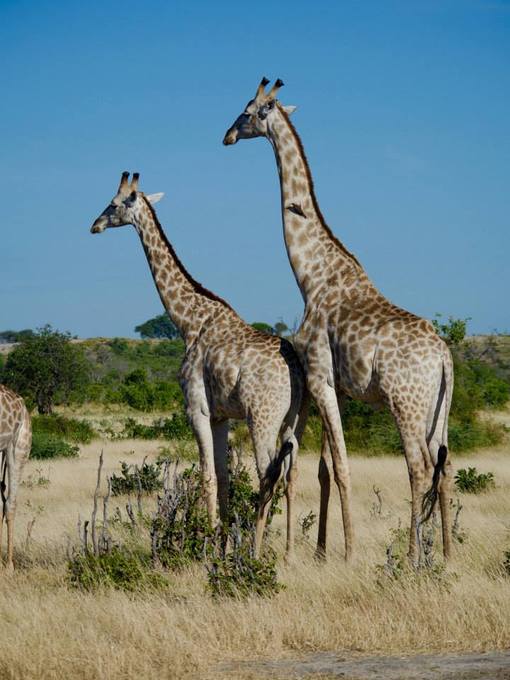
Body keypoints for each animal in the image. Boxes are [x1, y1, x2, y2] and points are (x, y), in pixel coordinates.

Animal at [90, 172, 306, 558]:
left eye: (113, 204)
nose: (94, 226)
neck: (188, 322)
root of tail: (295, 372)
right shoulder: (221, 416)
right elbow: (224, 478)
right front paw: (221, 544)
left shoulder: (197, 408)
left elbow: (206, 475)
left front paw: (206, 543)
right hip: (294, 418)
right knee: (291, 474)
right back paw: (288, 553)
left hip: (262, 417)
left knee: (267, 473)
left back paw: (255, 552)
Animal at [223, 78, 454, 563]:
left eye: (249, 111)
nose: (227, 136)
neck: (311, 275)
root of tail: (445, 358)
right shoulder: (340, 388)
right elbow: (326, 468)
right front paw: (320, 551)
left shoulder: (319, 376)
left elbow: (344, 467)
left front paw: (346, 552)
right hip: (438, 409)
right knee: (445, 465)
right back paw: (444, 554)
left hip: (406, 404)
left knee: (419, 466)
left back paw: (412, 557)